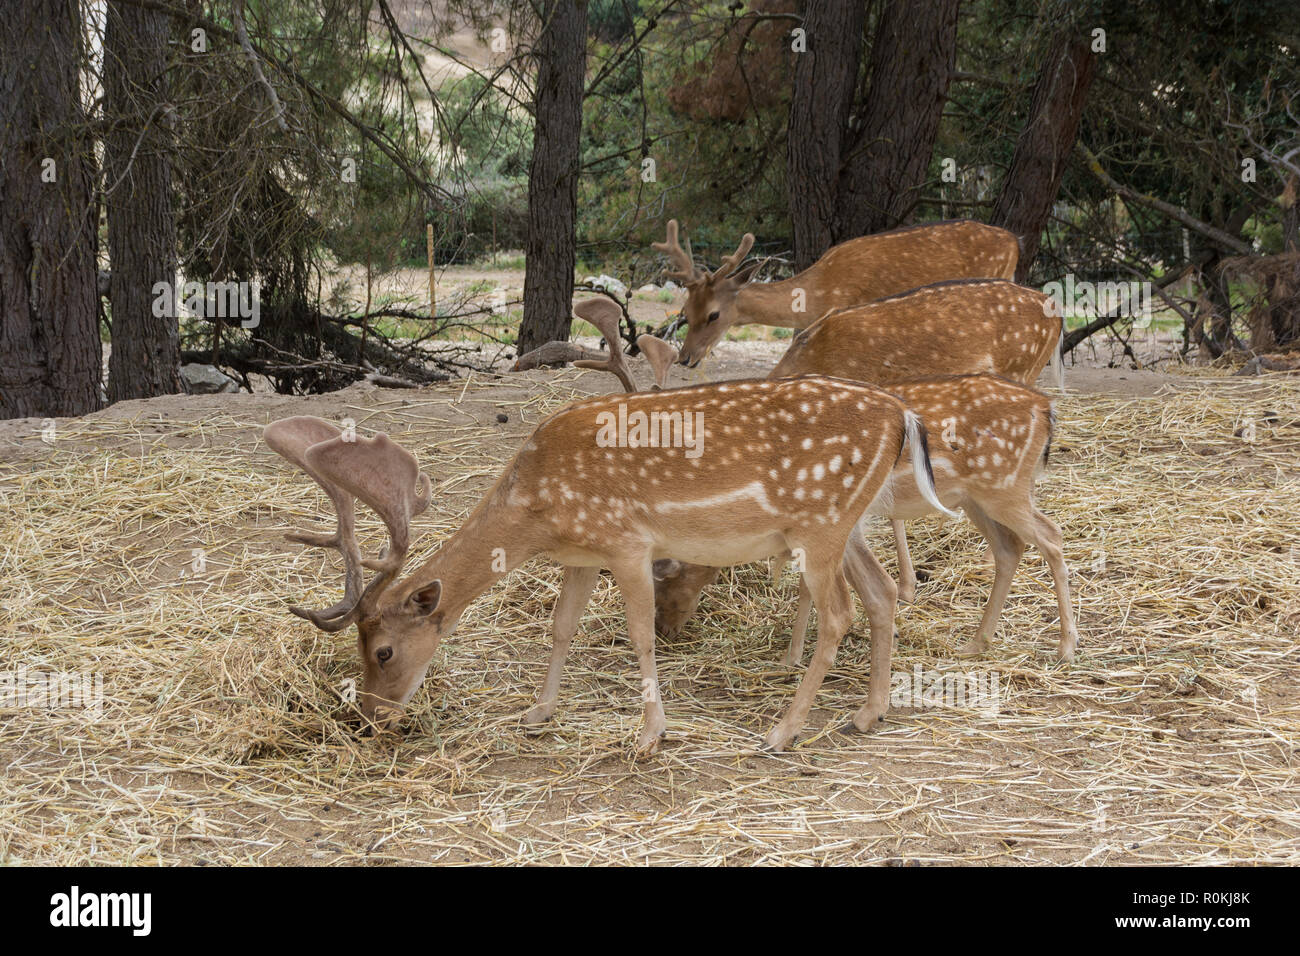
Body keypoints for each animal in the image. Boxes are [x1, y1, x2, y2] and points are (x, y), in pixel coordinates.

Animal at [263, 374, 956, 754]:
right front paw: (537, 712)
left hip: (820, 523)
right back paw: (867, 714)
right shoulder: (582, 554)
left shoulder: (626, 541)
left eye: (381, 650)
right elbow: (561, 626)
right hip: (847, 523)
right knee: (883, 593)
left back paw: (782, 732)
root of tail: (904, 414)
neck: (538, 510)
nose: (369, 718)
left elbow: (641, 636)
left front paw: (652, 734)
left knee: (840, 613)